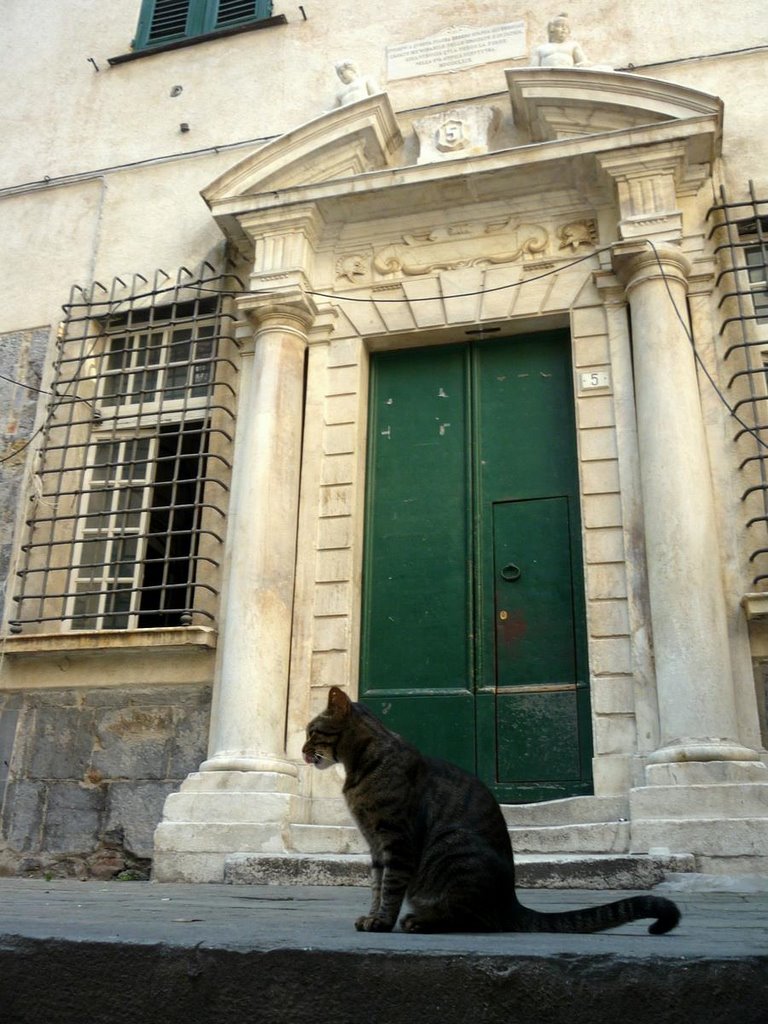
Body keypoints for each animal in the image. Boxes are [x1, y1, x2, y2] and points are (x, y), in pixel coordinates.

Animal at [303, 688, 684, 937]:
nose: (302, 749)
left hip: (452, 846)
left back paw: (423, 922)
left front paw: (382, 923)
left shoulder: (395, 839)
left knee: (477, 920)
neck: (358, 766)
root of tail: (510, 901)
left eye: (311, 731)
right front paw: (372, 917)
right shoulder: (376, 845)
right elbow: (376, 887)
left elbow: (390, 888)